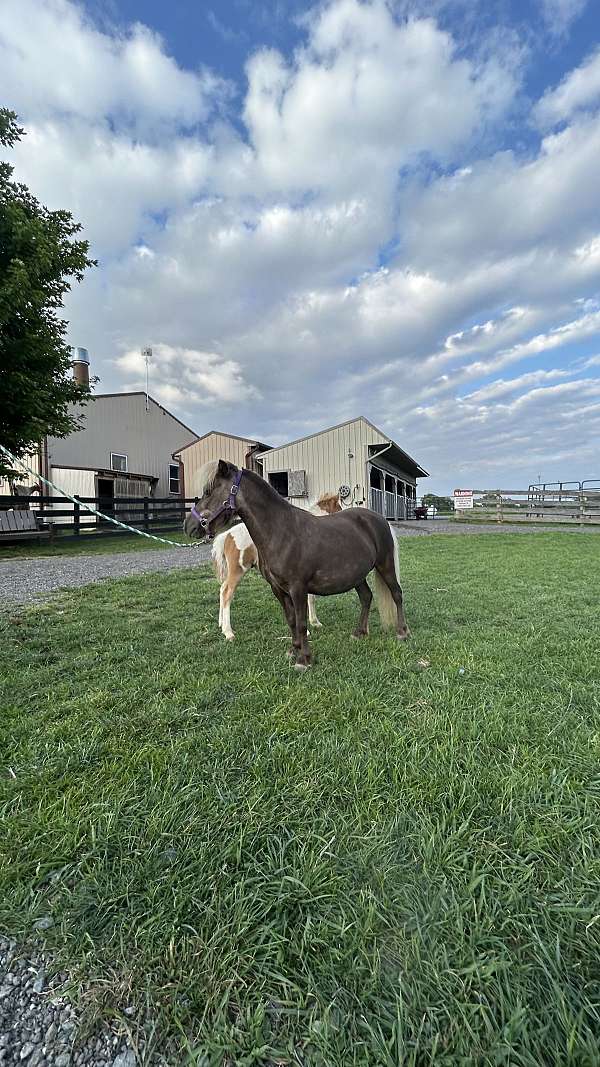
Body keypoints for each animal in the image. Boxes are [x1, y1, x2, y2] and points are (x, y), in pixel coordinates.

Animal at [210, 492, 341, 640]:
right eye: (339, 508)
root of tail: (227, 535)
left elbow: (311, 598)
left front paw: (315, 623)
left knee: (222, 589)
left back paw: (221, 624)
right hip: (238, 570)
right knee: (227, 592)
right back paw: (228, 632)